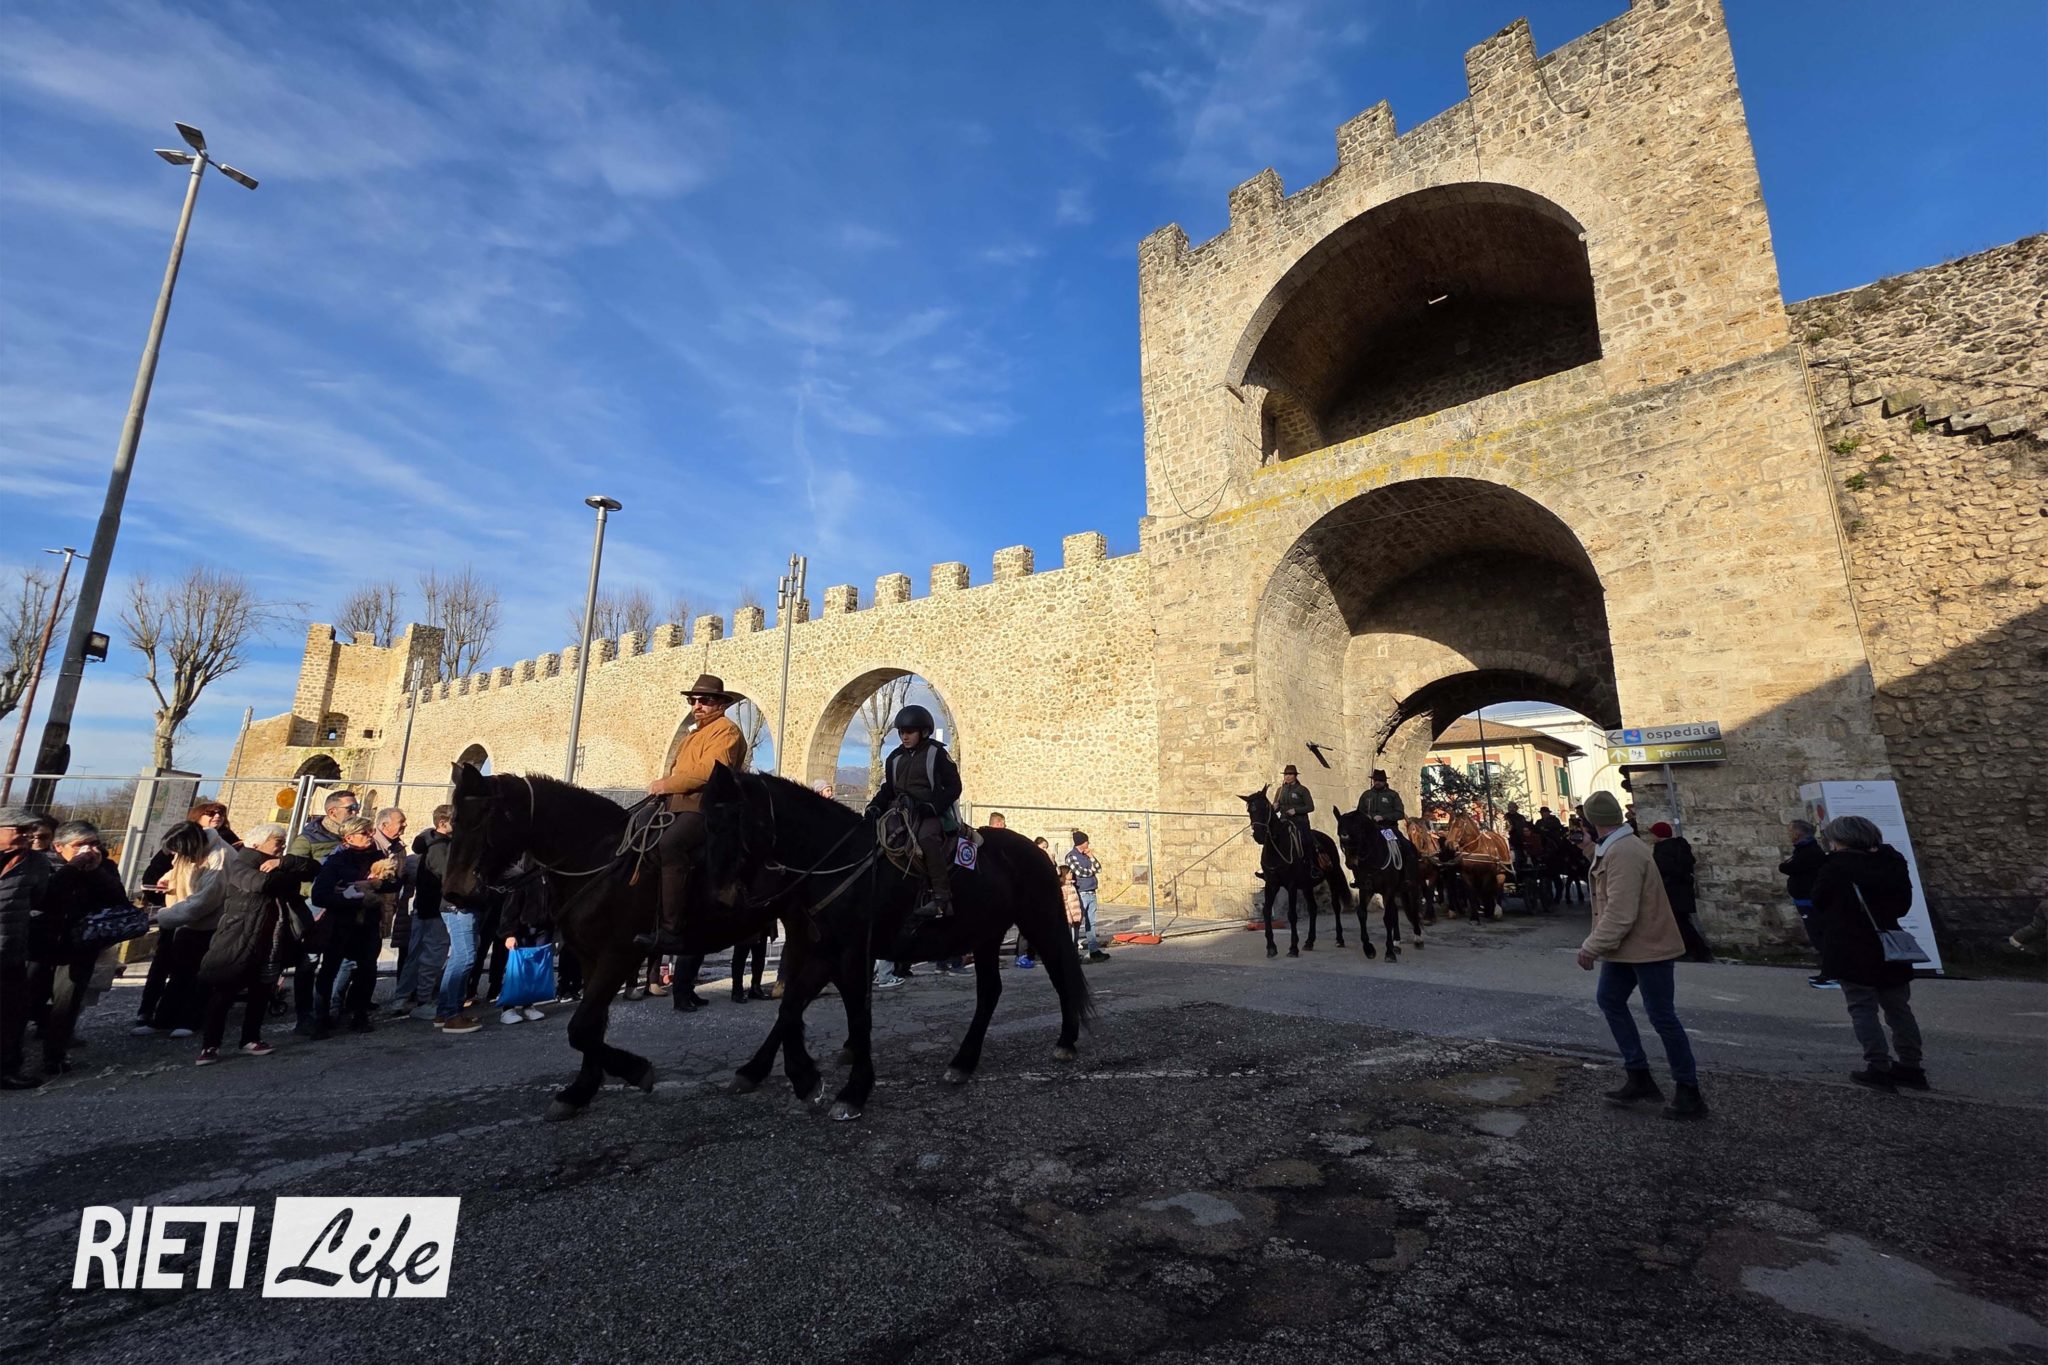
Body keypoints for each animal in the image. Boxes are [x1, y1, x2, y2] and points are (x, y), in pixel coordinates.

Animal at [441, 764, 770, 1121]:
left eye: (484, 816)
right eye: (454, 819)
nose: (454, 892)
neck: (596, 858)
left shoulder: (619, 954)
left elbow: (581, 1028)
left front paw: (634, 1070)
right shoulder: (590, 956)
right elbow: (591, 1026)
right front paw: (580, 1091)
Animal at [700, 764, 1093, 1121]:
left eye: (732, 819)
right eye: (705, 821)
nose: (719, 898)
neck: (837, 862)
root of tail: (1036, 852)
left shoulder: (848, 953)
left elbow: (854, 1015)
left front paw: (852, 1091)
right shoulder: (823, 951)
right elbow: (791, 1007)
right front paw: (788, 1076)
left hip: (1041, 923)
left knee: (1060, 974)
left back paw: (1066, 1041)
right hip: (986, 935)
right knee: (990, 993)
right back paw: (963, 1062)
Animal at [1240, 789, 1357, 959]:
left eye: (1265, 807)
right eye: (1250, 810)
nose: (1259, 836)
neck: (1277, 847)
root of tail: (1327, 838)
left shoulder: (1292, 885)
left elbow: (1292, 914)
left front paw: (1293, 948)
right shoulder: (1272, 884)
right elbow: (1267, 910)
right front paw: (1271, 947)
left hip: (1332, 877)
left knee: (1336, 906)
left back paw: (1339, 939)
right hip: (1307, 886)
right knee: (1313, 908)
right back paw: (1309, 941)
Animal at [1333, 809, 1423, 960]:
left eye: (1358, 831)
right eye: (1340, 833)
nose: (1350, 863)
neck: (1373, 858)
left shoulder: (1388, 890)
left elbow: (1387, 918)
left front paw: (1389, 952)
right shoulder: (1366, 889)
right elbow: (1362, 914)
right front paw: (1369, 948)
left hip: (1412, 888)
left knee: (1414, 909)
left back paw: (1417, 938)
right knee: (1395, 912)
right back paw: (1396, 942)